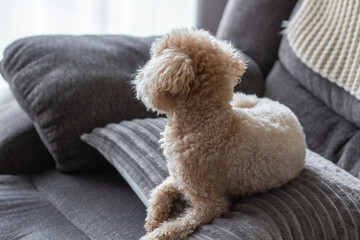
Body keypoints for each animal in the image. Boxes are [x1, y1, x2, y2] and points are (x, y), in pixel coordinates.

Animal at [134, 28, 306, 240]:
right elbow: (159, 191)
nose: (139, 76)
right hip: (243, 101)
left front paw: (154, 232)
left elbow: (174, 226)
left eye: (155, 55)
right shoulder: (180, 178)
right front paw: (153, 219)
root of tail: (288, 110)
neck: (211, 124)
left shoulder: (210, 204)